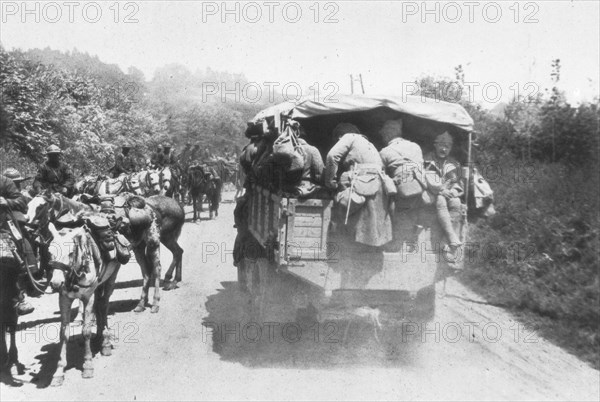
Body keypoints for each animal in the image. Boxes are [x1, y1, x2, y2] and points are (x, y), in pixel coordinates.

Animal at [46, 220, 124, 386]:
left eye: (70, 253)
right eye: (49, 252)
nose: (55, 284)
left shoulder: (88, 297)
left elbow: (86, 331)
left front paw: (88, 365)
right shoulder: (64, 299)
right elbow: (64, 334)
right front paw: (59, 372)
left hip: (111, 278)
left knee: (104, 305)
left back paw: (105, 343)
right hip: (98, 286)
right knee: (99, 305)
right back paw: (100, 337)